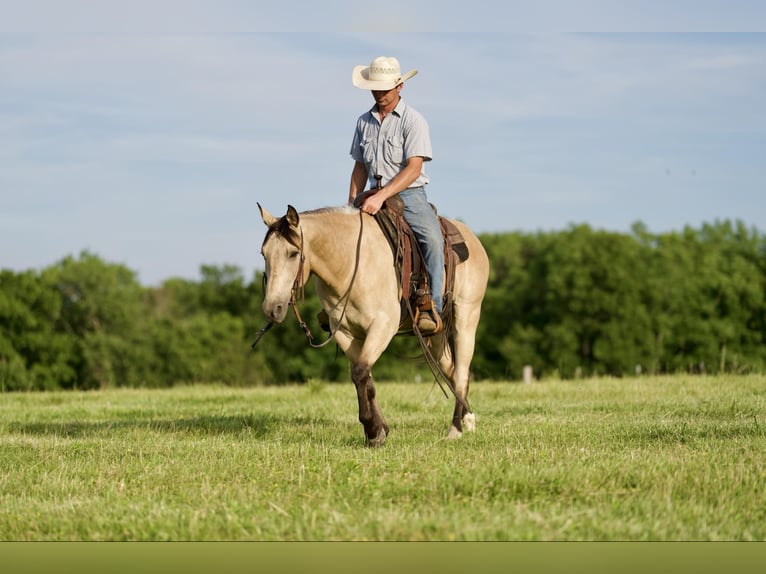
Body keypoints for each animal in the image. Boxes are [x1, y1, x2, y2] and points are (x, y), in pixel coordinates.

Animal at [257, 203, 489, 446]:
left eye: (293, 253)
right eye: (264, 254)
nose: (271, 308)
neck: (350, 264)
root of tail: (472, 238)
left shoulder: (382, 326)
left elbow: (360, 372)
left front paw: (373, 430)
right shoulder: (345, 332)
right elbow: (365, 377)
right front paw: (379, 431)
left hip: (467, 316)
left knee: (461, 372)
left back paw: (456, 429)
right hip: (436, 334)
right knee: (451, 370)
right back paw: (467, 418)